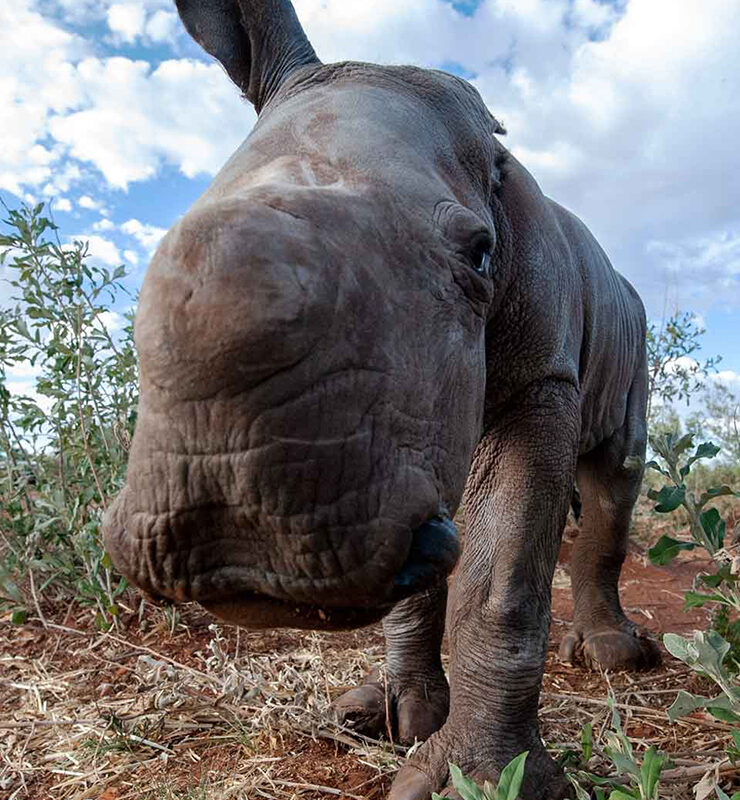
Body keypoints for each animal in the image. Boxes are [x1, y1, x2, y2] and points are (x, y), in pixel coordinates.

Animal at [102, 3, 660, 796]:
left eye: (481, 254)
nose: (239, 535)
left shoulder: (541, 381)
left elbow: (504, 580)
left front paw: (478, 779)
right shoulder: (408, 417)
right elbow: (427, 566)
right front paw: (396, 717)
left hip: (629, 323)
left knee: (618, 469)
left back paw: (614, 658)